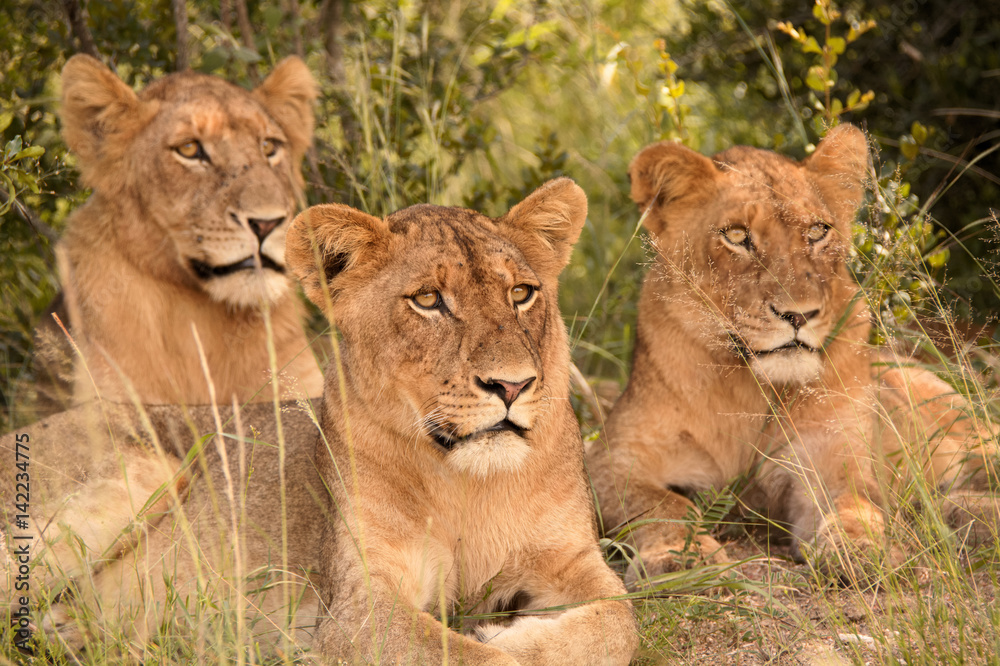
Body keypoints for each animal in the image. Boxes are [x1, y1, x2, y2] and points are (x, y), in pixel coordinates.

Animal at [45, 179, 632, 660]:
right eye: (428, 300)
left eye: (521, 293)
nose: (511, 386)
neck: (469, 485)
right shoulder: (357, 608)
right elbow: (468, 656)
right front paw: (493, 639)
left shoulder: (575, 558)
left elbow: (620, 619)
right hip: (143, 470)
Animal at [584, 124, 1000, 580]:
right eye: (736, 235)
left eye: (818, 231)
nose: (799, 314)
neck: (747, 390)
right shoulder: (612, 458)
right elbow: (662, 504)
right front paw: (680, 557)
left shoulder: (831, 456)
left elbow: (854, 500)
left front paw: (861, 547)